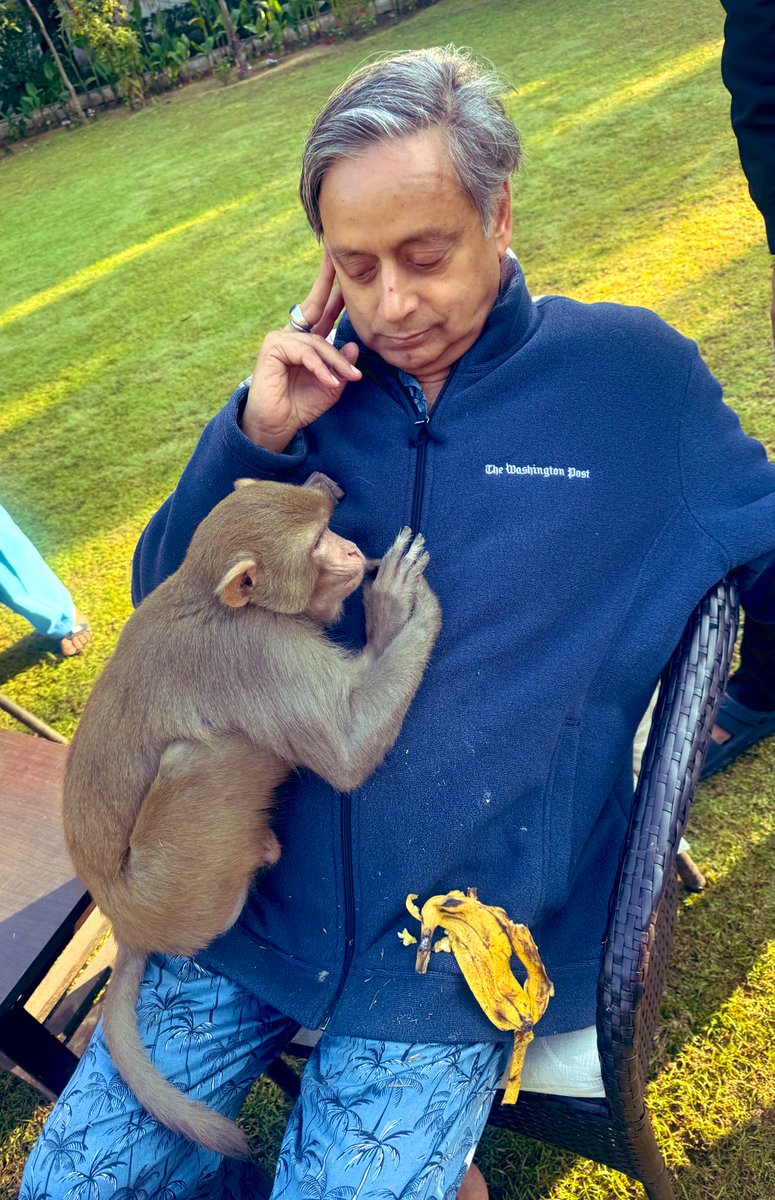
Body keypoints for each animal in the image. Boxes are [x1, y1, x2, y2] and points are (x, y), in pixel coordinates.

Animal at [62, 475, 441, 1159]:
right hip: (176, 878)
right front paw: (400, 604)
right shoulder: (262, 653)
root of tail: (120, 919)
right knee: (206, 753)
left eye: (329, 522)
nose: (354, 550)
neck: (215, 597)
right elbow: (347, 750)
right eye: (319, 542)